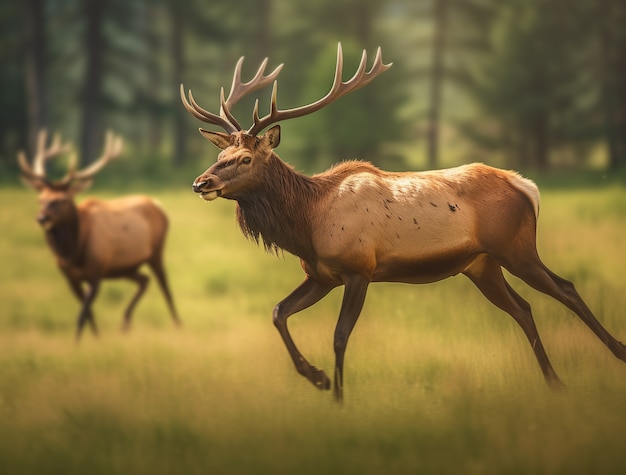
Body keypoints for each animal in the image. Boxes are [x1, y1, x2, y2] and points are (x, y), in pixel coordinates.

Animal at [18, 128, 180, 340]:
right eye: (41, 199)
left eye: (62, 200)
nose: (41, 218)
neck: (73, 253)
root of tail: (156, 203)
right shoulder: (71, 277)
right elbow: (88, 313)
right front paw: (95, 337)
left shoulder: (96, 271)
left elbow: (82, 314)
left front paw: (78, 342)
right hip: (125, 267)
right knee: (144, 280)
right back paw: (125, 323)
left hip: (156, 252)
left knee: (166, 288)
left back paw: (178, 325)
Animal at [180, 43, 624, 402]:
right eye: (221, 154)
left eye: (244, 158)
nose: (201, 182)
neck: (307, 223)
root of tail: (526, 186)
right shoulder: (321, 275)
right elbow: (278, 312)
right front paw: (318, 378)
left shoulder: (359, 269)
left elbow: (339, 335)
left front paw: (338, 397)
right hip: (482, 265)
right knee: (524, 308)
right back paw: (554, 381)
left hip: (516, 248)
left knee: (565, 289)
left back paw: (615, 353)